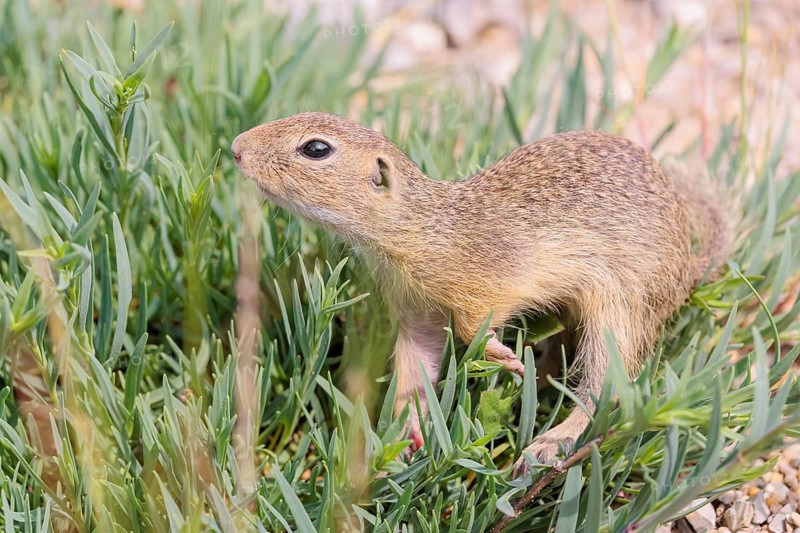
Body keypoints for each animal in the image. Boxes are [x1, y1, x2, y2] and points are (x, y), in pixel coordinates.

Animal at [232, 112, 732, 475]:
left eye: (315, 148)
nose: (236, 147)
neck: (423, 229)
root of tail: (688, 269)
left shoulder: (490, 285)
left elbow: (475, 327)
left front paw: (503, 357)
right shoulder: (418, 314)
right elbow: (414, 369)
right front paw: (408, 431)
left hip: (619, 310)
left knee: (606, 388)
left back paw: (549, 443)